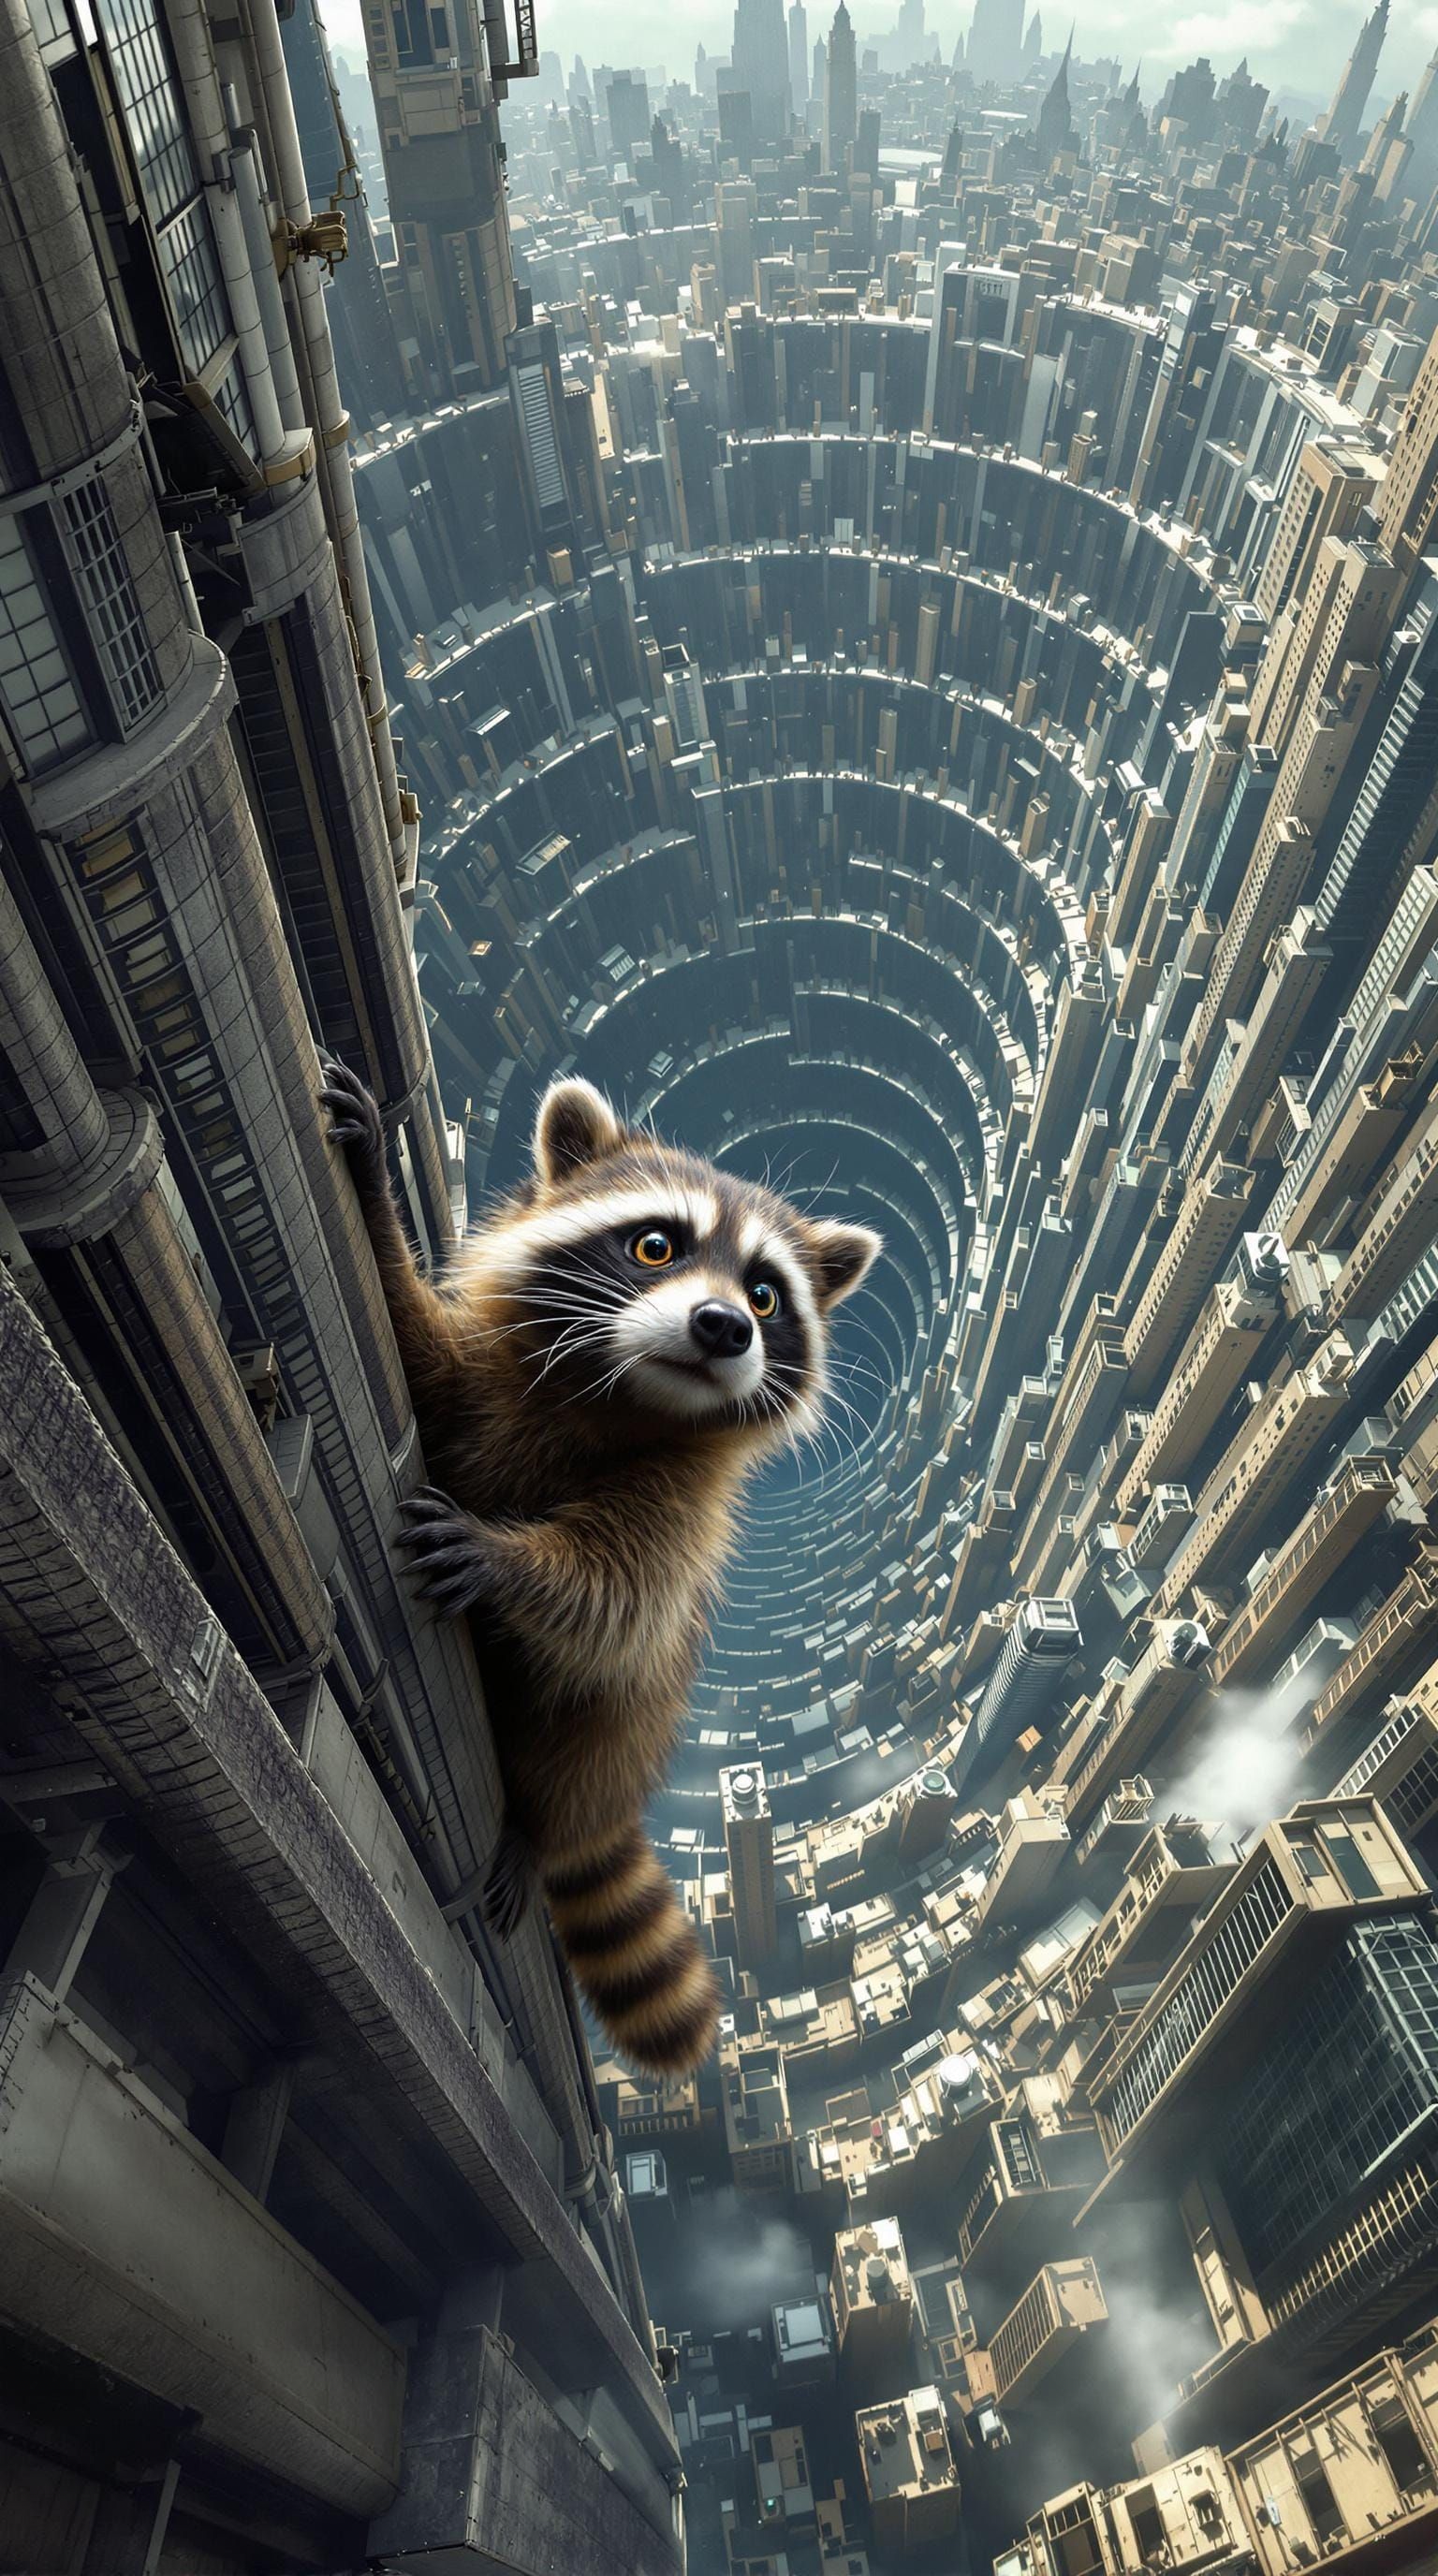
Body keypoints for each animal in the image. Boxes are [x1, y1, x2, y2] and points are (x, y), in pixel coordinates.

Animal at [319, 1058, 880, 2077]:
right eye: (656, 1245)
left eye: (766, 1296)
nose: (723, 1326)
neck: (620, 1395)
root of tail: (605, 1803)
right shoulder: (478, 1381)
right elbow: (410, 1343)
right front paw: (376, 1202)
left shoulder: (682, 1507)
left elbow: (616, 1598)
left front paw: (506, 1561)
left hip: (618, 1728)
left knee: (590, 1712)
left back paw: (531, 1834)